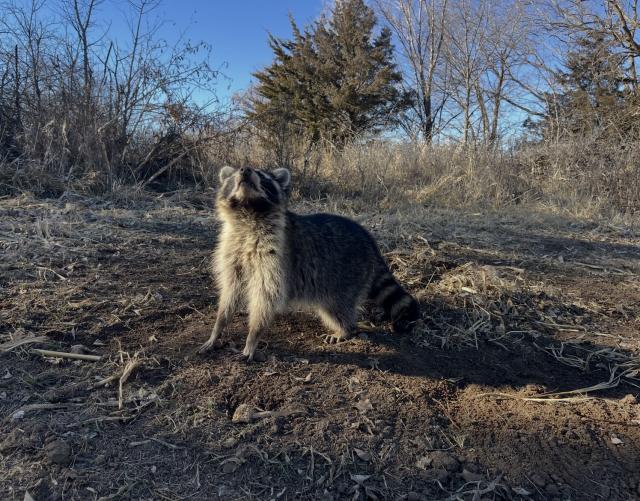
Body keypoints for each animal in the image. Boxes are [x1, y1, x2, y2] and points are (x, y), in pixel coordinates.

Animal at [198, 165, 419, 361]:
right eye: (236, 172)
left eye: (262, 174)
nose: (245, 170)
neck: (248, 211)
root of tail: (370, 242)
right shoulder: (232, 248)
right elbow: (231, 290)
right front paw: (218, 326)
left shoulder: (275, 255)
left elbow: (267, 295)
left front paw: (253, 335)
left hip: (347, 276)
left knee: (336, 308)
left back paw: (345, 329)